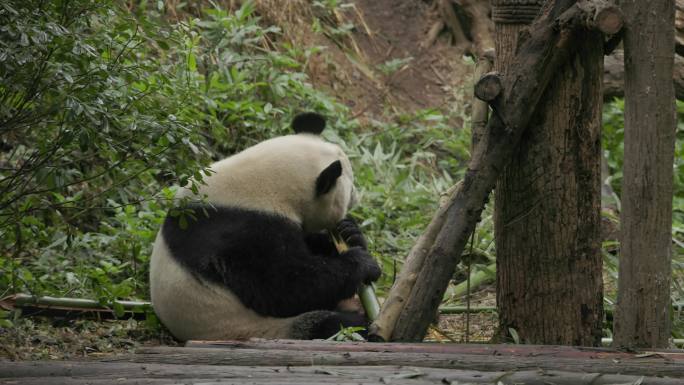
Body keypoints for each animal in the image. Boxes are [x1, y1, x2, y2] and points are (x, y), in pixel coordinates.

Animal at [150, 112, 382, 340]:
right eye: (350, 187)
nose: (357, 198)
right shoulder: (245, 231)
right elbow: (284, 286)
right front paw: (362, 264)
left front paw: (350, 233)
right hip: (253, 327)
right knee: (331, 326)